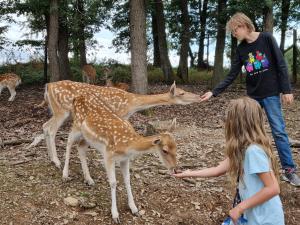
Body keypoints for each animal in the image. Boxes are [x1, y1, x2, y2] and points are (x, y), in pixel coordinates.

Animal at [38, 80, 200, 168]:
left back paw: (51, 158)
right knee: (51, 130)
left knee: (45, 126)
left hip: (55, 109)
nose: (198, 96)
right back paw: (56, 161)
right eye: (182, 93)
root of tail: (48, 86)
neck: (132, 104)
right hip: (62, 110)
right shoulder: (118, 114)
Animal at [62, 95, 176, 223]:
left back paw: (89, 179)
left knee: (80, 147)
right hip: (77, 125)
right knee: (68, 142)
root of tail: (76, 98)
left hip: (87, 137)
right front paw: (115, 215)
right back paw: (65, 175)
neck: (127, 145)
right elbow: (113, 182)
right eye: (165, 150)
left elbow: (127, 180)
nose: (174, 168)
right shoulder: (108, 155)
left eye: (176, 146)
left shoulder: (125, 159)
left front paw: (134, 209)